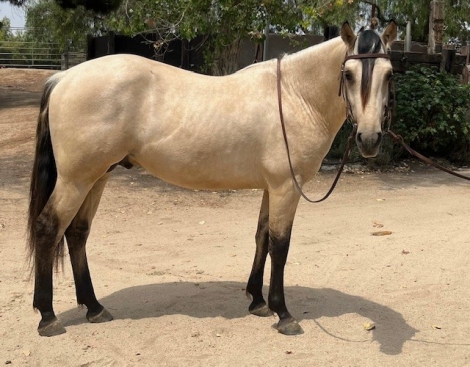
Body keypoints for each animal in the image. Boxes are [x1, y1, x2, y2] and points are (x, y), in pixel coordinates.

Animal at [27, 19, 396, 336]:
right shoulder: (286, 188)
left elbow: (262, 236)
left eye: (389, 74)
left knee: (77, 232)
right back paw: (48, 317)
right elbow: (280, 244)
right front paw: (283, 313)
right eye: (348, 74)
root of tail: (63, 78)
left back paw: (94, 307)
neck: (295, 95)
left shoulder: (271, 188)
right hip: (75, 180)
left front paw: (257, 300)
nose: (369, 138)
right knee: (48, 228)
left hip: (97, 177)